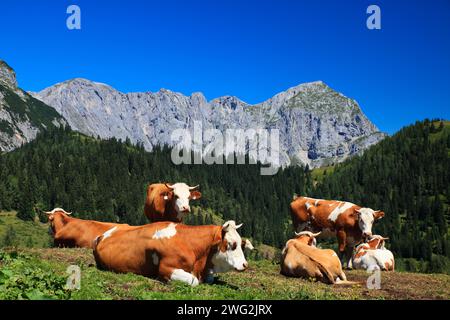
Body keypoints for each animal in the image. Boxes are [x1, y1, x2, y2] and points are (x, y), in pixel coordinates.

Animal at [92, 220, 248, 284]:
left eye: (241, 243)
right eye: (232, 244)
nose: (245, 264)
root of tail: (101, 235)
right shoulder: (166, 268)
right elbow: (194, 281)